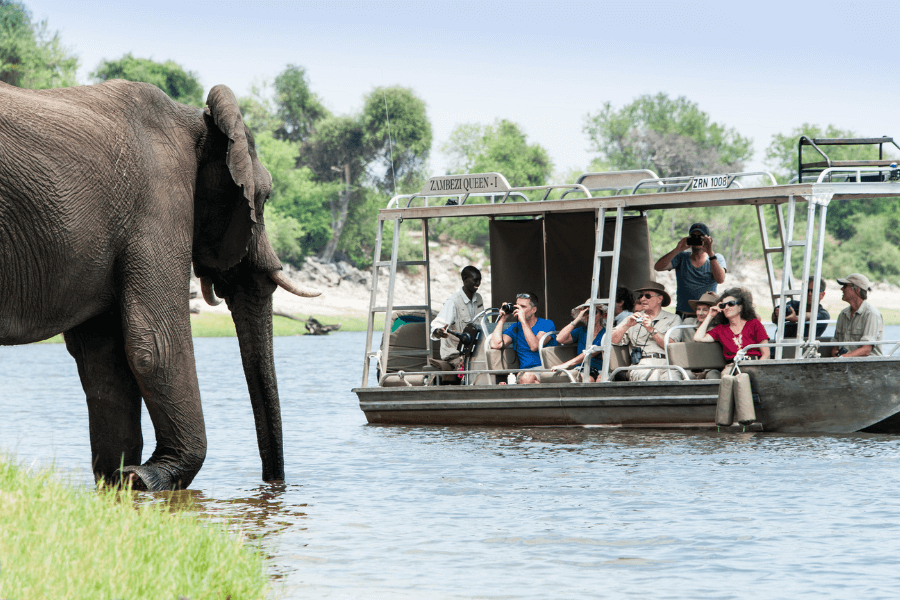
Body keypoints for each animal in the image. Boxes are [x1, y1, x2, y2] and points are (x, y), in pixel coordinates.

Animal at [0, 79, 318, 491]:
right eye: (263, 198)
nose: (273, 488)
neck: (196, 122)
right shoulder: (158, 203)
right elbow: (156, 342)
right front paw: (148, 478)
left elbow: (103, 359)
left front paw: (119, 481)